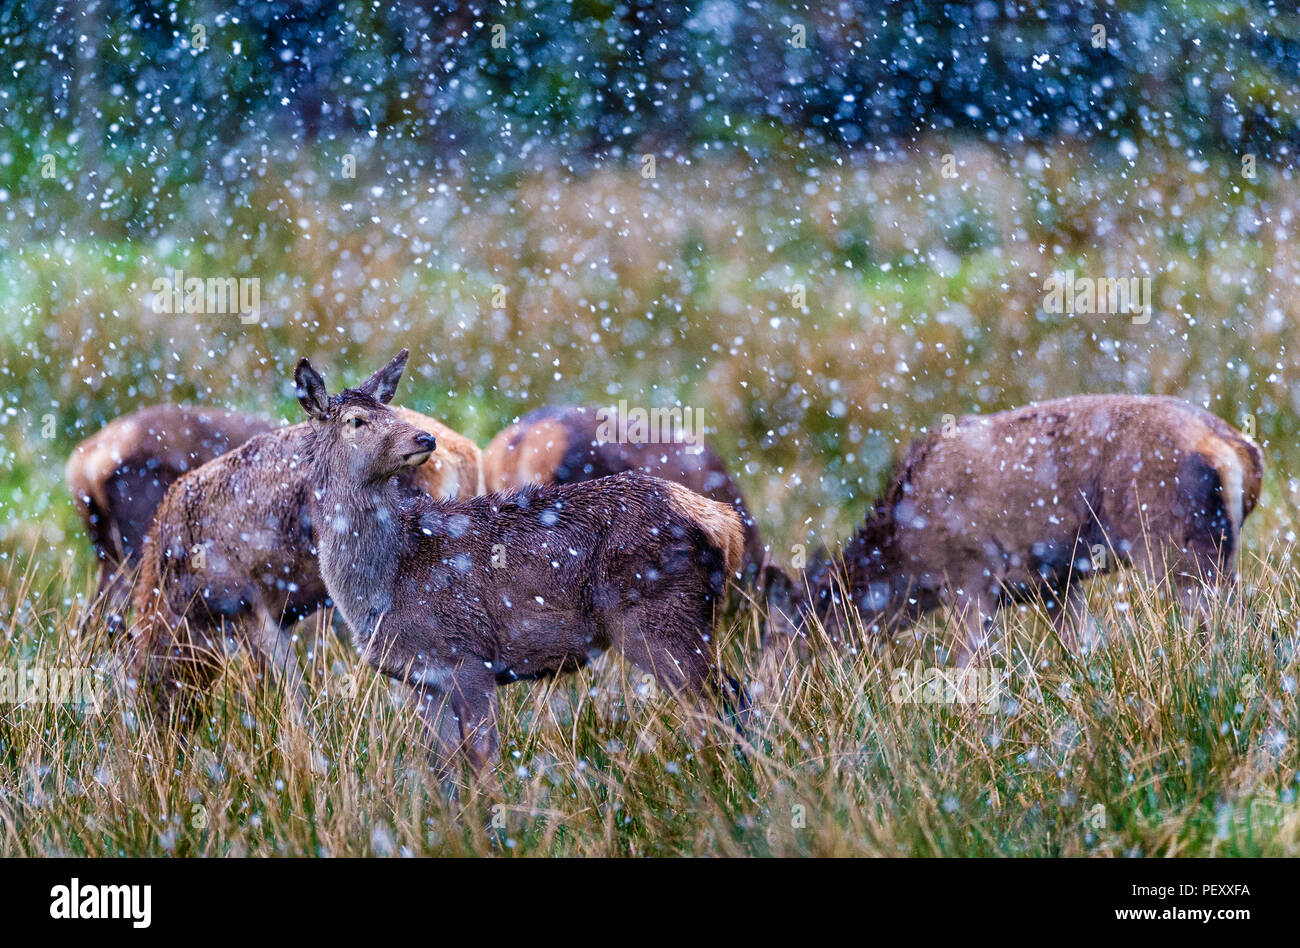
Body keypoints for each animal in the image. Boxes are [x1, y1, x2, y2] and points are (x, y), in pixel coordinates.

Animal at [125, 379, 483, 723]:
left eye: (145, 684)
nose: (163, 725)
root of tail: (463, 456)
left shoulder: (244, 602)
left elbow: (290, 696)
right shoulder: (281, 613)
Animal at [764, 392, 1263, 665]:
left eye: (783, 636)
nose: (761, 697)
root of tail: (1240, 451)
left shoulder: (972, 577)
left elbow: (970, 666)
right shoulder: (1055, 581)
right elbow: (1081, 644)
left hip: (1176, 547)